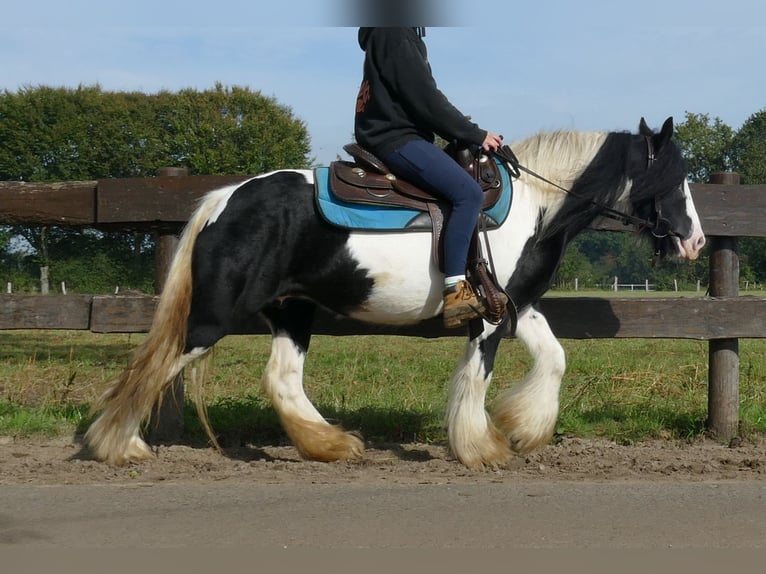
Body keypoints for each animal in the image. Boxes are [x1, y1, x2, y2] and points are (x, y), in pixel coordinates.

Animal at [85, 117, 708, 472]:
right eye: (675, 176)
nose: (696, 240)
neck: (536, 204)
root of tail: (225, 199)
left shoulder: (518, 306)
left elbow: (555, 358)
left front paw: (524, 430)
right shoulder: (488, 316)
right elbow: (476, 378)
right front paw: (480, 448)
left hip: (291, 311)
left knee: (281, 378)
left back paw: (331, 446)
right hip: (215, 315)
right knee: (157, 363)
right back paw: (120, 446)